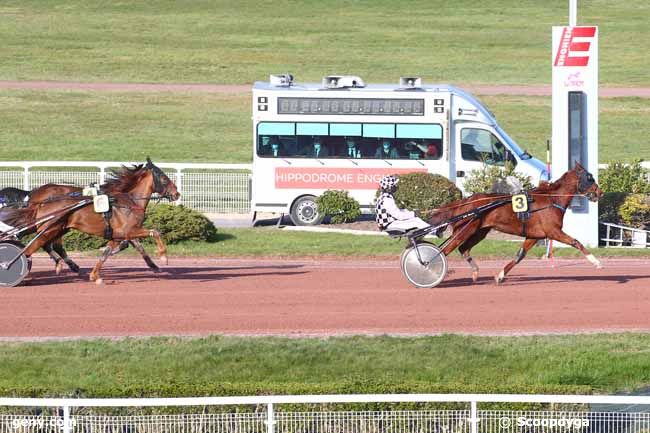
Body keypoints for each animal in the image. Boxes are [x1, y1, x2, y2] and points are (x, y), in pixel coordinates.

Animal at [18, 159, 180, 284]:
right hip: (50, 228)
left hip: (59, 228)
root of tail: (39, 200)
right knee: (34, 247)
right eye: (164, 178)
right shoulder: (128, 230)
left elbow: (109, 253)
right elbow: (155, 232)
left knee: (49, 245)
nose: (177, 194)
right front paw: (163, 256)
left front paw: (95, 275)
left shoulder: (119, 234)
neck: (129, 201)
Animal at [426, 163, 604, 284]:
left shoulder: (534, 235)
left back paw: (475, 272)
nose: (600, 192)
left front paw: (500, 276)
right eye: (590, 178)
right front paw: (596, 261)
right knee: (445, 250)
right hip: (465, 229)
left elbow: (520, 255)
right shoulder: (553, 231)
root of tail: (466, 201)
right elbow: (576, 242)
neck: (551, 200)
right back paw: (429, 268)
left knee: (463, 248)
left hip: (479, 231)